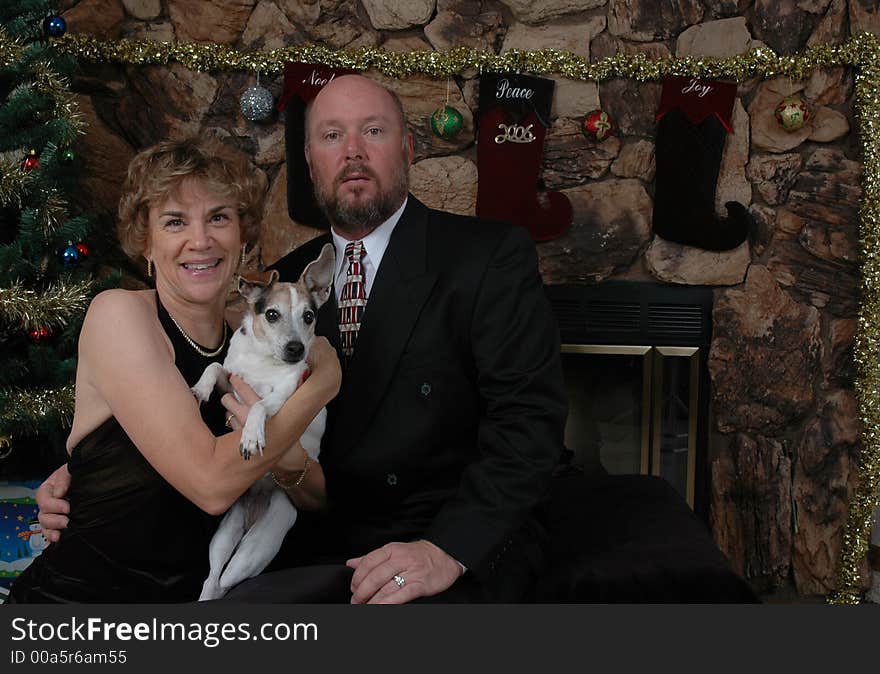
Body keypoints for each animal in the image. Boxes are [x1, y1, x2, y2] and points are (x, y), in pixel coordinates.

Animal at [189, 242, 334, 600]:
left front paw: (251, 436)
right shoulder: (231, 381)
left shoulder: (283, 397)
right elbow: (215, 368)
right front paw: (200, 388)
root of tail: (254, 505)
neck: (263, 361)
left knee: (226, 581)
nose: (296, 349)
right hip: (224, 536)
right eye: (271, 314)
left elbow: (258, 407)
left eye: (308, 317)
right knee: (212, 578)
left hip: (257, 548)